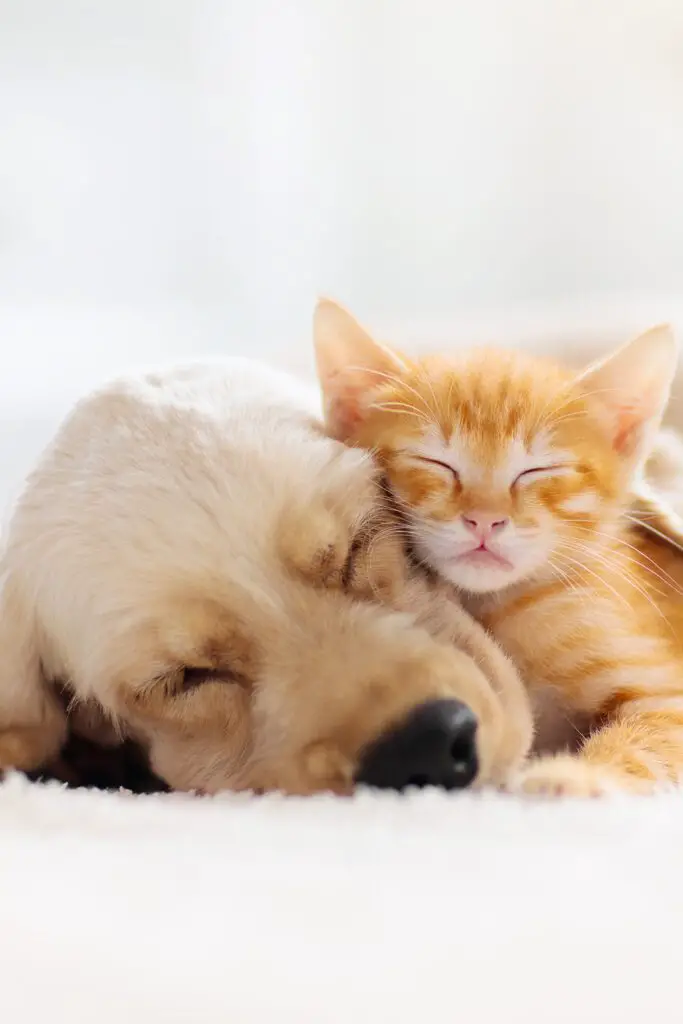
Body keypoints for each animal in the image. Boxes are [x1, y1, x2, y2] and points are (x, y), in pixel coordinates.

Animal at [313, 299, 683, 794]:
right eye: (436, 462)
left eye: (537, 470)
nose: (484, 519)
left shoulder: (666, 693)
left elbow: (644, 745)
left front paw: (568, 776)